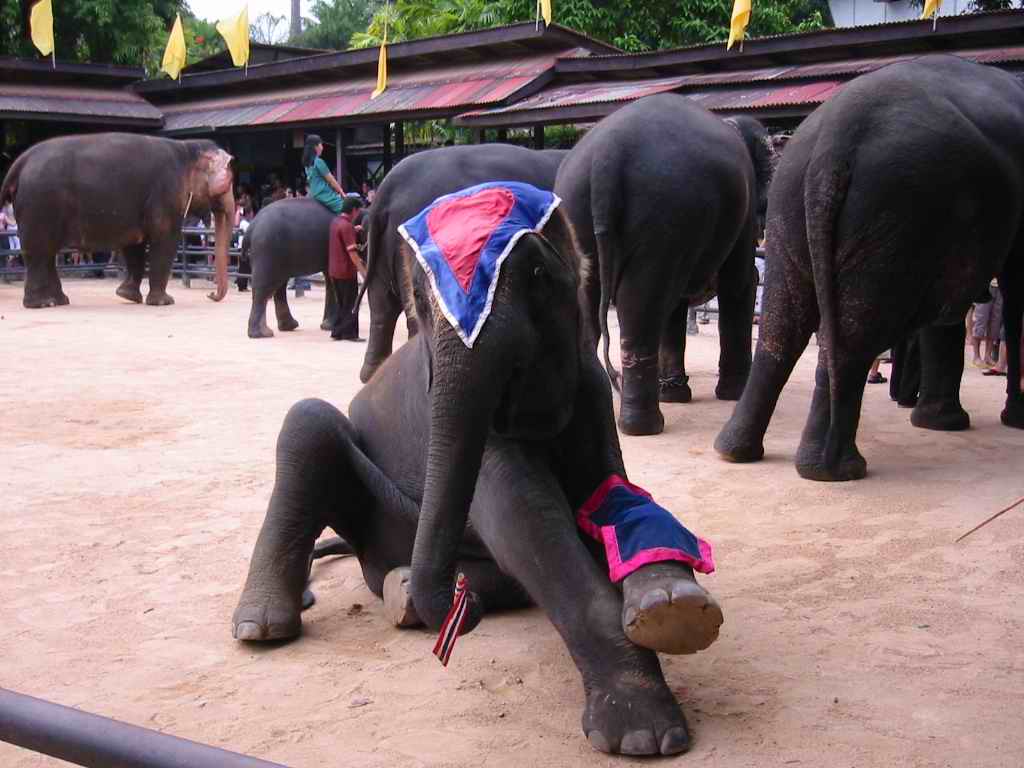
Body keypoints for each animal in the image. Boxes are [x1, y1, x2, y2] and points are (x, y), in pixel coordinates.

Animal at [0, 133, 235, 308]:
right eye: (228, 182)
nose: (211, 295)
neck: (186, 148)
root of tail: (20, 162)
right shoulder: (165, 194)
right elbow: (165, 240)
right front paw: (164, 302)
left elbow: (135, 244)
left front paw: (127, 295)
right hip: (40, 204)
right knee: (39, 252)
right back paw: (42, 304)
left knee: (46, 253)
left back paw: (59, 301)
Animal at [231, 184, 724, 756]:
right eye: (420, 300)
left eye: (538, 276)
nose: (451, 615)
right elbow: (527, 518)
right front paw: (643, 734)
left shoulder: (592, 391)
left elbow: (608, 492)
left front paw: (670, 607)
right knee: (308, 422)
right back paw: (267, 626)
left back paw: (407, 592)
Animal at [553, 93, 774, 436]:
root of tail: (607, 155)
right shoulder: (744, 204)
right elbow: (740, 282)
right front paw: (731, 395)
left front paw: (674, 394)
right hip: (663, 212)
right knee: (643, 301)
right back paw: (644, 427)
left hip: (576, 206)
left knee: (597, 300)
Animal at [715, 55, 1024, 482]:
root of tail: (834, 142)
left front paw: (941, 424)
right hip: (896, 210)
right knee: (852, 337)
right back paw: (836, 469)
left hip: (795, 202)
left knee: (783, 327)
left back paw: (736, 451)